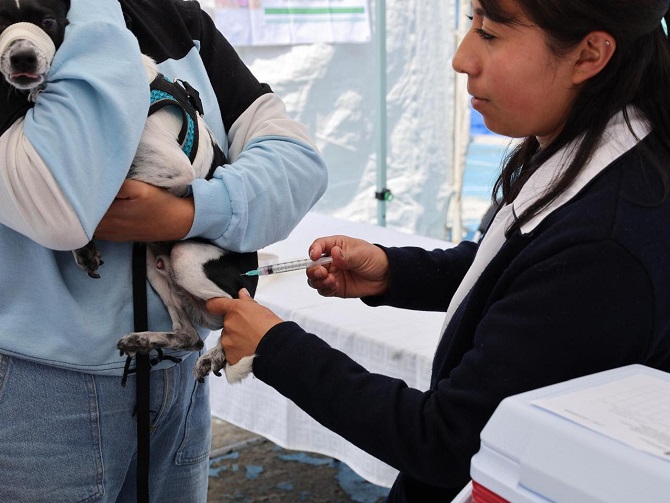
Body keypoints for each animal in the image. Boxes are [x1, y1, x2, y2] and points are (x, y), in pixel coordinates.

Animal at [0, 0, 258, 382]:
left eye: (48, 22)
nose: (22, 58)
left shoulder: (172, 167)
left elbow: (110, 180)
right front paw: (84, 246)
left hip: (189, 258)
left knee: (241, 309)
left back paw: (220, 353)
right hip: (155, 264)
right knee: (189, 335)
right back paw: (147, 339)